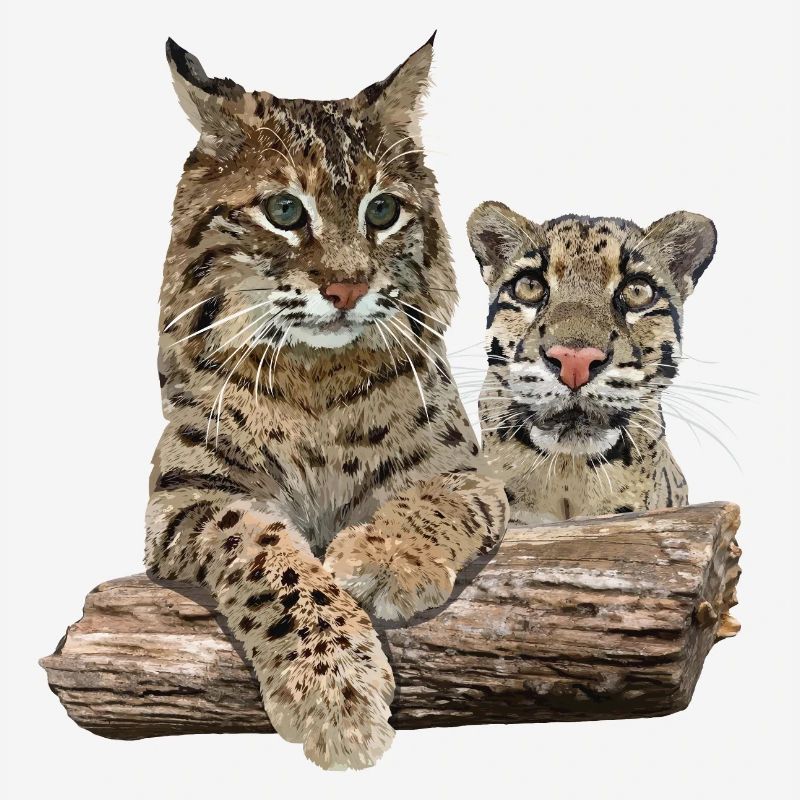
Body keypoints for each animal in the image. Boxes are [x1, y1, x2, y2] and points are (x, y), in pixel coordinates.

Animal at [145, 38, 509, 770]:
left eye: (382, 212)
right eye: (285, 212)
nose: (347, 289)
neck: (316, 374)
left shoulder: (466, 472)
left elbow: (433, 500)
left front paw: (388, 557)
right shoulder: (185, 495)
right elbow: (265, 552)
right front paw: (334, 691)